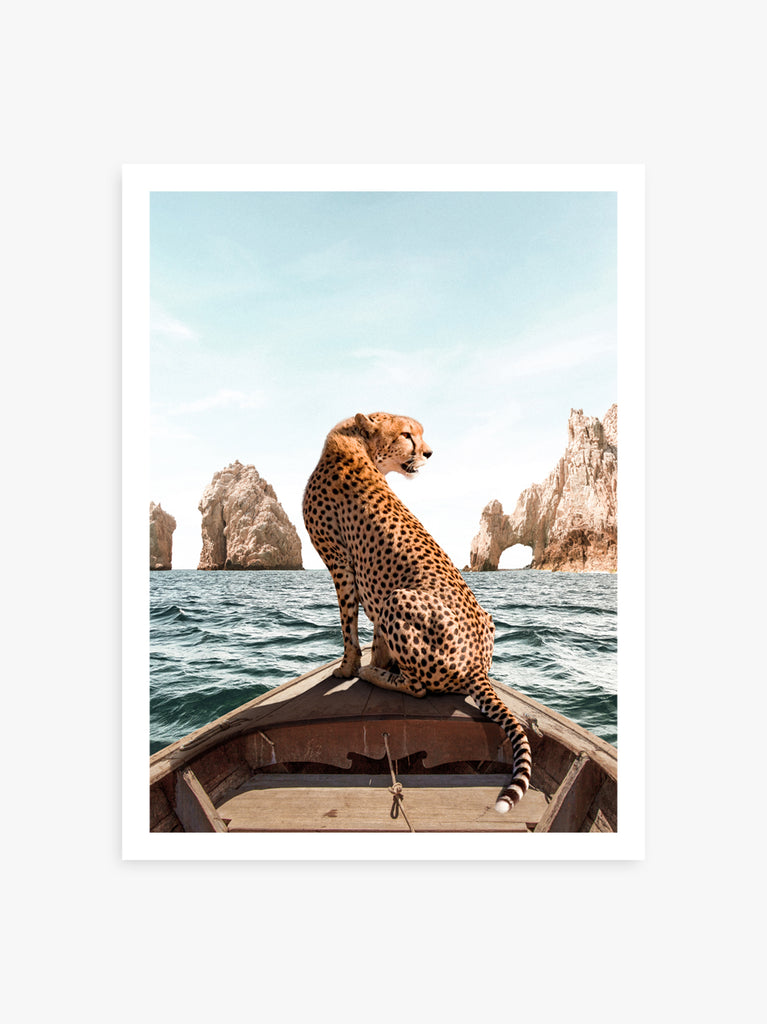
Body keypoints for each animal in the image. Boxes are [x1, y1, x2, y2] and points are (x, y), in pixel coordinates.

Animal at [302, 411, 532, 812]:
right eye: (408, 434)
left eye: (418, 434)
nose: (429, 452)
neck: (354, 440)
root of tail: (476, 665)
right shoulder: (359, 575)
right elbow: (373, 634)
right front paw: (377, 658)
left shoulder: (340, 564)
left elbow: (348, 626)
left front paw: (348, 668)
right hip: (476, 618)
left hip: (398, 598)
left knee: (419, 688)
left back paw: (373, 675)